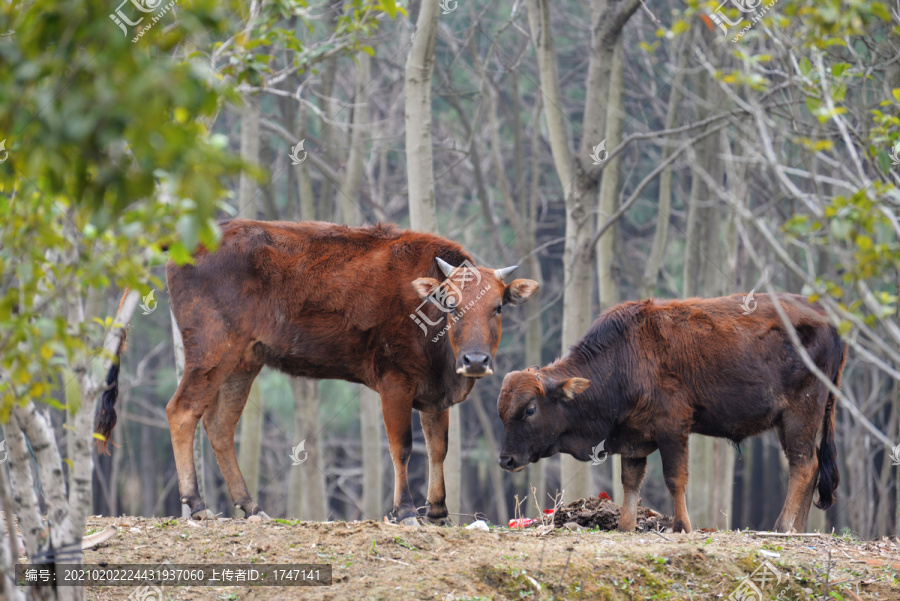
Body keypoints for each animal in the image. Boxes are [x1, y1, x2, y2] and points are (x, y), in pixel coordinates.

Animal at [97, 218, 536, 524]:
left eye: (498, 306)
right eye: (451, 304)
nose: (475, 361)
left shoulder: (433, 395)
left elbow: (438, 448)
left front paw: (439, 511)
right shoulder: (395, 382)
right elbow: (403, 447)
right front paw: (407, 511)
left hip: (244, 362)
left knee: (219, 425)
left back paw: (251, 506)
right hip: (210, 352)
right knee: (182, 411)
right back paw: (199, 504)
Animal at [500, 292, 844, 532]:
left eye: (530, 409)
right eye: (502, 412)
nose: (506, 460)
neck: (623, 357)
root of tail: (829, 320)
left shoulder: (673, 428)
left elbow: (674, 478)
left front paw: (682, 526)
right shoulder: (633, 437)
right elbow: (630, 481)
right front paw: (625, 526)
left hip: (800, 414)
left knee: (803, 465)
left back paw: (782, 527)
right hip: (794, 421)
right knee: (811, 465)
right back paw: (798, 529)